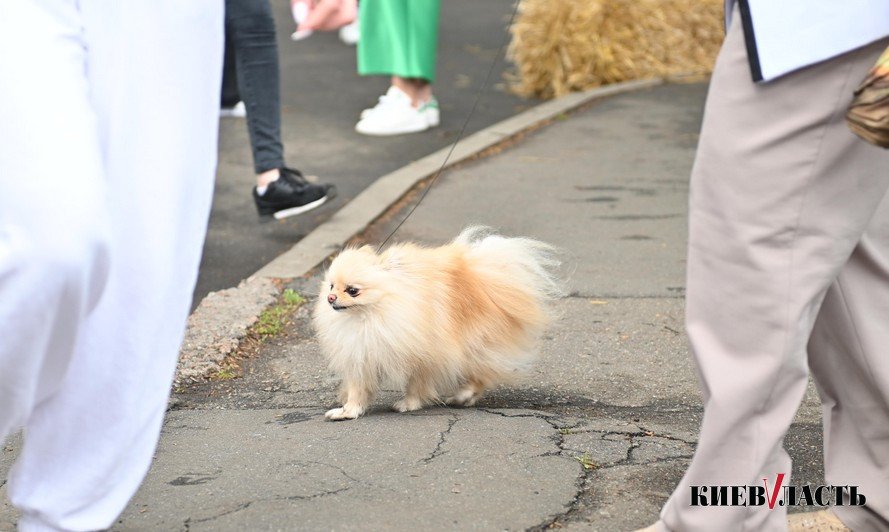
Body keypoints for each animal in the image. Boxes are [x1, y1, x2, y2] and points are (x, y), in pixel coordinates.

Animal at [314, 227, 560, 422]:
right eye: (331, 286)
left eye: (352, 290)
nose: (331, 298)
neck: (371, 316)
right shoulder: (361, 353)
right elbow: (358, 389)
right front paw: (347, 411)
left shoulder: (425, 354)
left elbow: (416, 385)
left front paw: (409, 403)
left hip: (475, 343)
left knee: (481, 373)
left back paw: (461, 396)